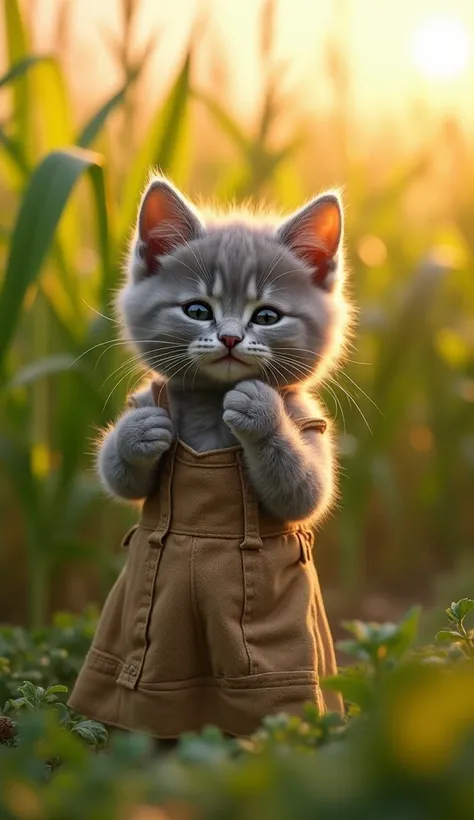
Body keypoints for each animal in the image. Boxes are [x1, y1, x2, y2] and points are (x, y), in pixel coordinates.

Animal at [99, 176, 348, 524]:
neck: (212, 405)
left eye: (267, 317)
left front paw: (258, 408)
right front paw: (138, 430)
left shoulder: (306, 417)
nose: (230, 338)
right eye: (198, 311)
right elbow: (123, 480)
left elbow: (306, 492)